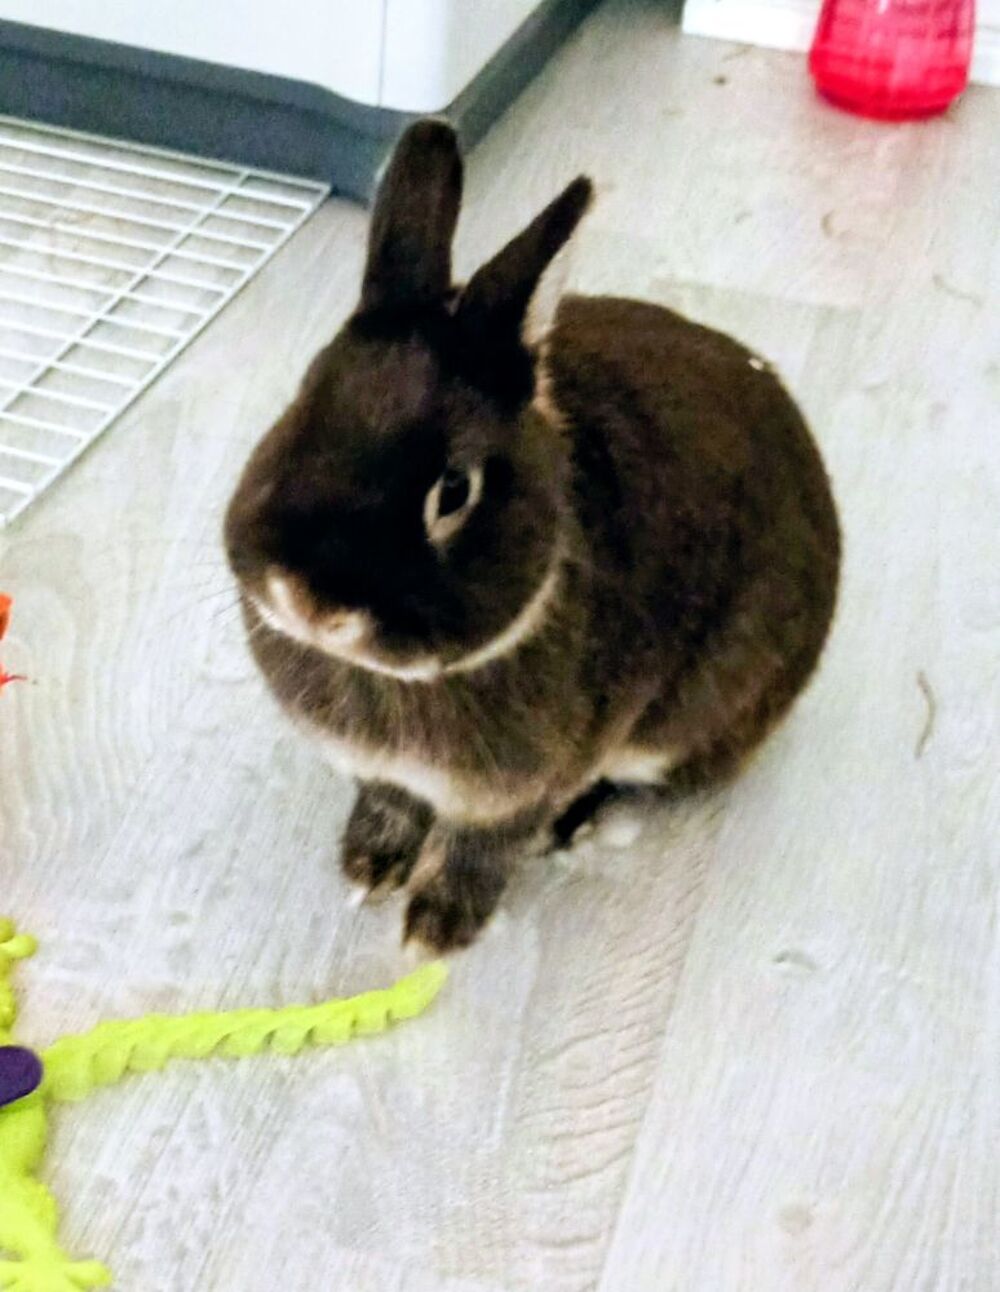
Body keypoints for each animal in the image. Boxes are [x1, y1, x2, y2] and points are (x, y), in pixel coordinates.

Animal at [224, 119, 840, 954]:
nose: (312, 603)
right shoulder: (383, 774)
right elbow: (390, 804)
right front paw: (368, 866)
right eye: (299, 411)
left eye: (454, 491)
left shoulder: (522, 788)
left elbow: (483, 848)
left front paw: (437, 929)